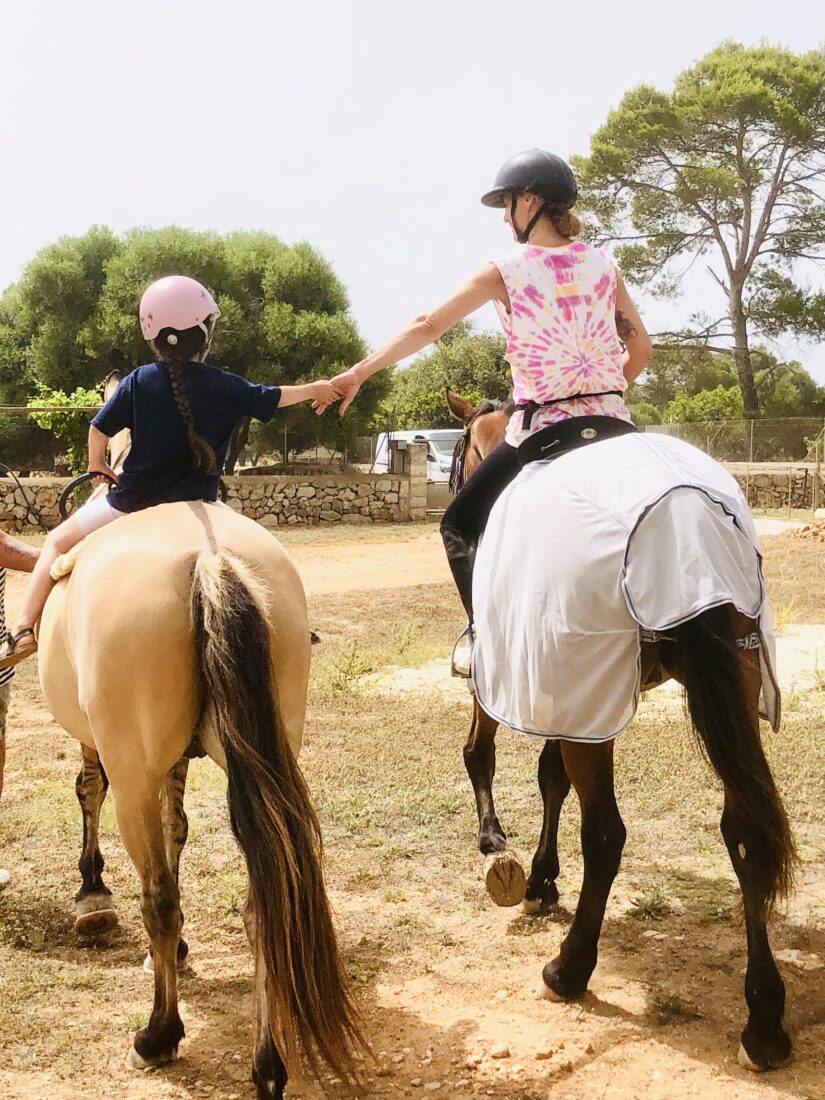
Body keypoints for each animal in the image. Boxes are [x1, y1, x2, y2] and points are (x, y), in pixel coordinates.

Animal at [448, 389, 796, 1073]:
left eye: (458, 453)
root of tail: (685, 519)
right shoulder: (566, 694)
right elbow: (549, 776)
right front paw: (540, 877)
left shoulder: (537, 677)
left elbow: (492, 755)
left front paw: (504, 849)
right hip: (729, 676)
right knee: (744, 831)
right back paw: (764, 1020)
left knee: (606, 834)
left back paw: (569, 970)